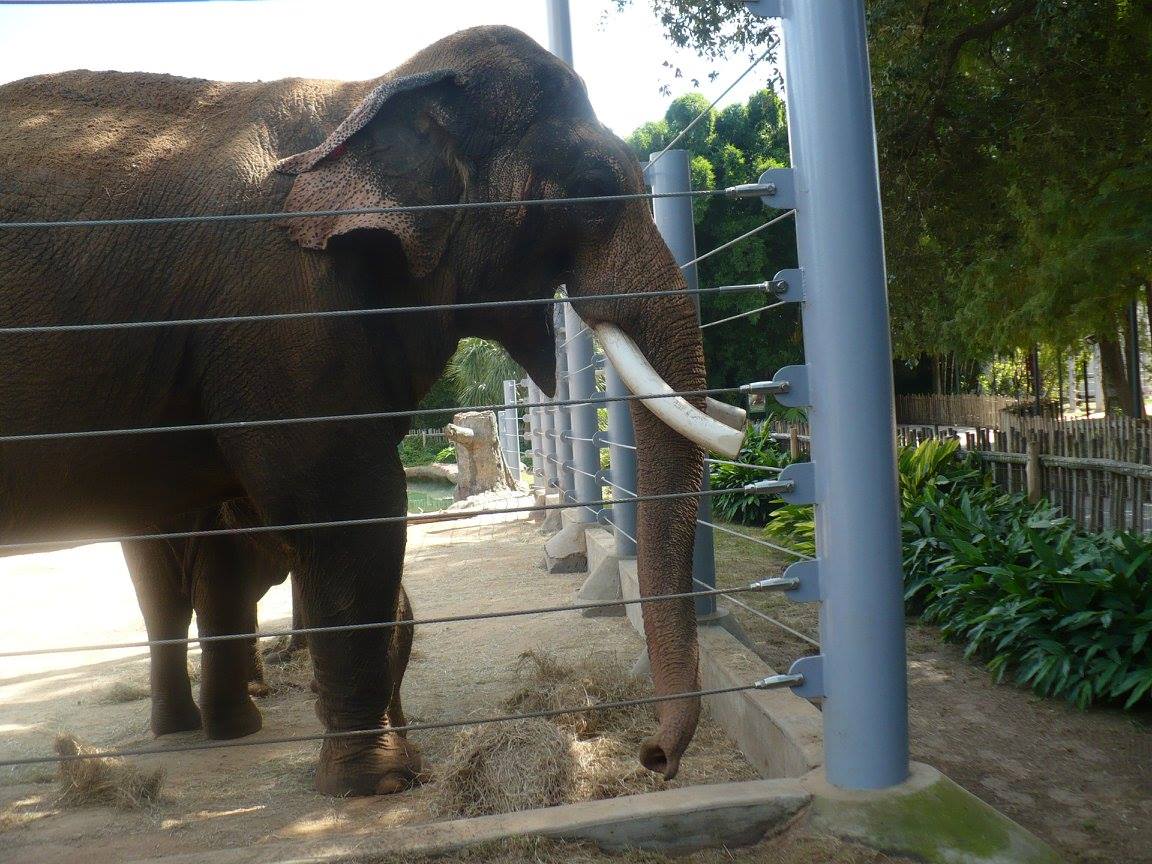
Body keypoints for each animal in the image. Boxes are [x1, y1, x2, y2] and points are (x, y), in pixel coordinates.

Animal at [0, 25, 739, 796]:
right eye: (594, 192)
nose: (655, 758)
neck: (368, 93)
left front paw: (393, 758)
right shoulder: (287, 310)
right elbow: (353, 503)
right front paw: (377, 783)